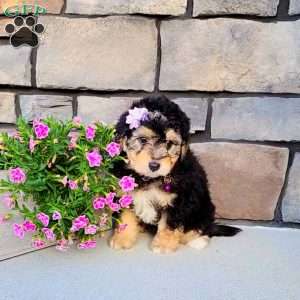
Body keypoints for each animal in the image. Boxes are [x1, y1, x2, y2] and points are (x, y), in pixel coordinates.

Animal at [109, 94, 240, 253]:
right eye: (143, 140)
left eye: (169, 143)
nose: (154, 165)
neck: (149, 178)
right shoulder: (125, 194)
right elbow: (125, 218)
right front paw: (122, 239)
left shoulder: (180, 199)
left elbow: (169, 223)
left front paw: (163, 245)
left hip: (203, 208)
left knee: (203, 226)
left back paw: (197, 239)